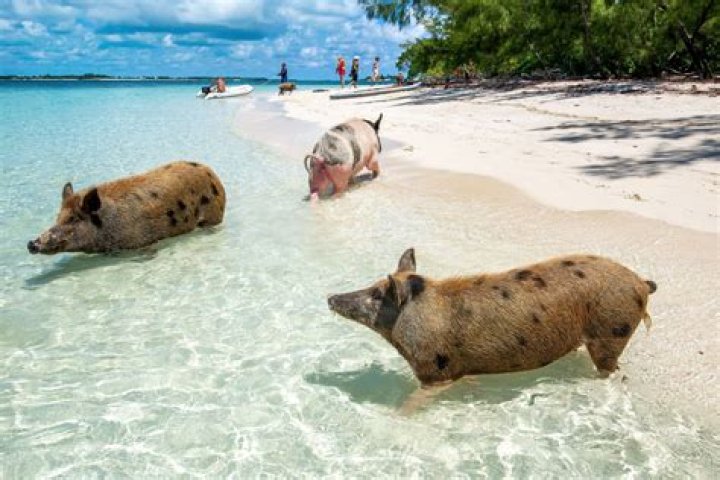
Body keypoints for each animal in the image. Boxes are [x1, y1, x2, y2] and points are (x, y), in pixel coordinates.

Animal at [27, 161, 226, 255]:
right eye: (58, 217)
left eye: (73, 219)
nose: (31, 243)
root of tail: (213, 174)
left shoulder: (141, 243)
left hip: (212, 216)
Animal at [328, 248, 657, 387]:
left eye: (375, 294)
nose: (329, 297)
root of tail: (641, 283)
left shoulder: (435, 369)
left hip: (613, 329)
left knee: (609, 366)